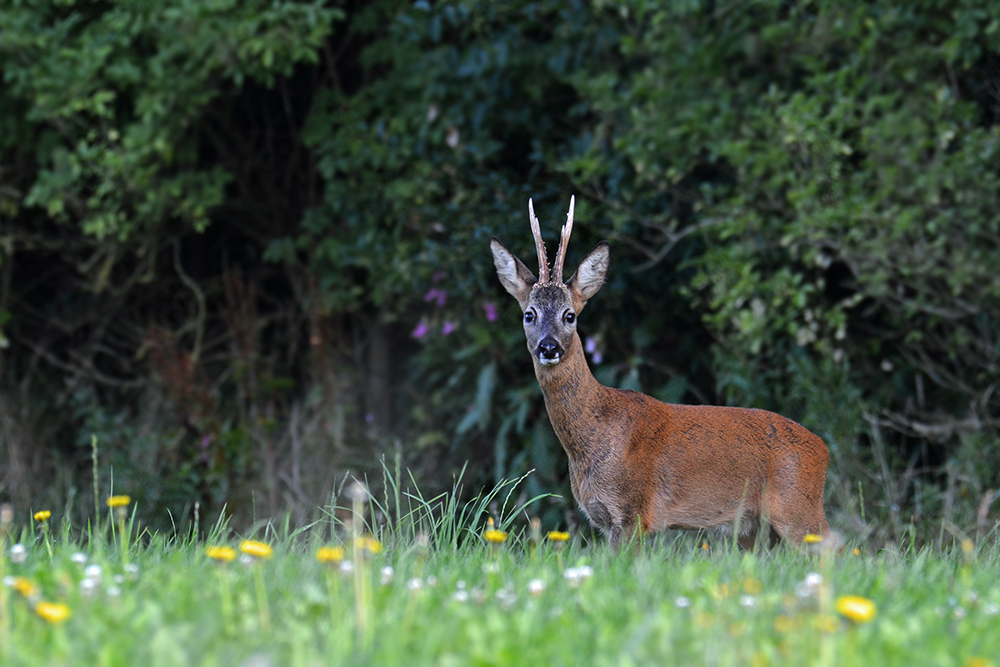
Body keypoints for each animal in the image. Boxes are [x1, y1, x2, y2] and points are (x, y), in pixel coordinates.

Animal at [490, 197, 828, 548]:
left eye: (569, 315)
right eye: (529, 314)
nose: (549, 347)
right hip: (754, 527)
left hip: (798, 509)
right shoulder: (603, 518)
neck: (592, 437)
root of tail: (822, 450)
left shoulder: (633, 508)